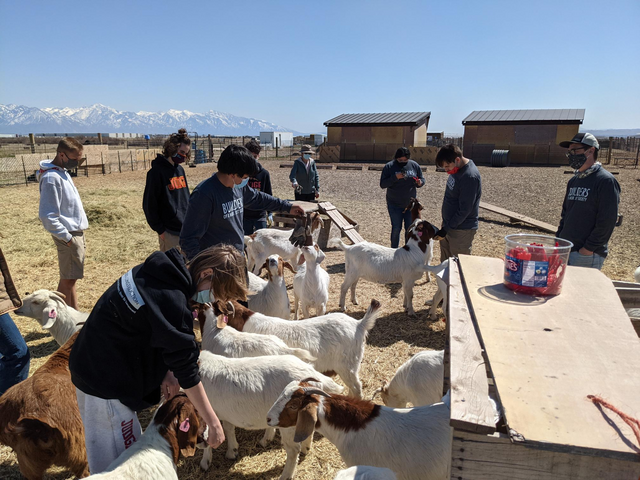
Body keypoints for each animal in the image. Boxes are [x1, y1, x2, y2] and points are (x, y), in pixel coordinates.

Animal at [199, 348, 344, 480]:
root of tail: (313, 374)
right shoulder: (225, 412)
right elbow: (228, 428)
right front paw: (232, 450)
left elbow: (209, 435)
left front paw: (205, 462)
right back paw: (305, 448)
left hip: (288, 423)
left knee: (293, 450)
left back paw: (286, 475)